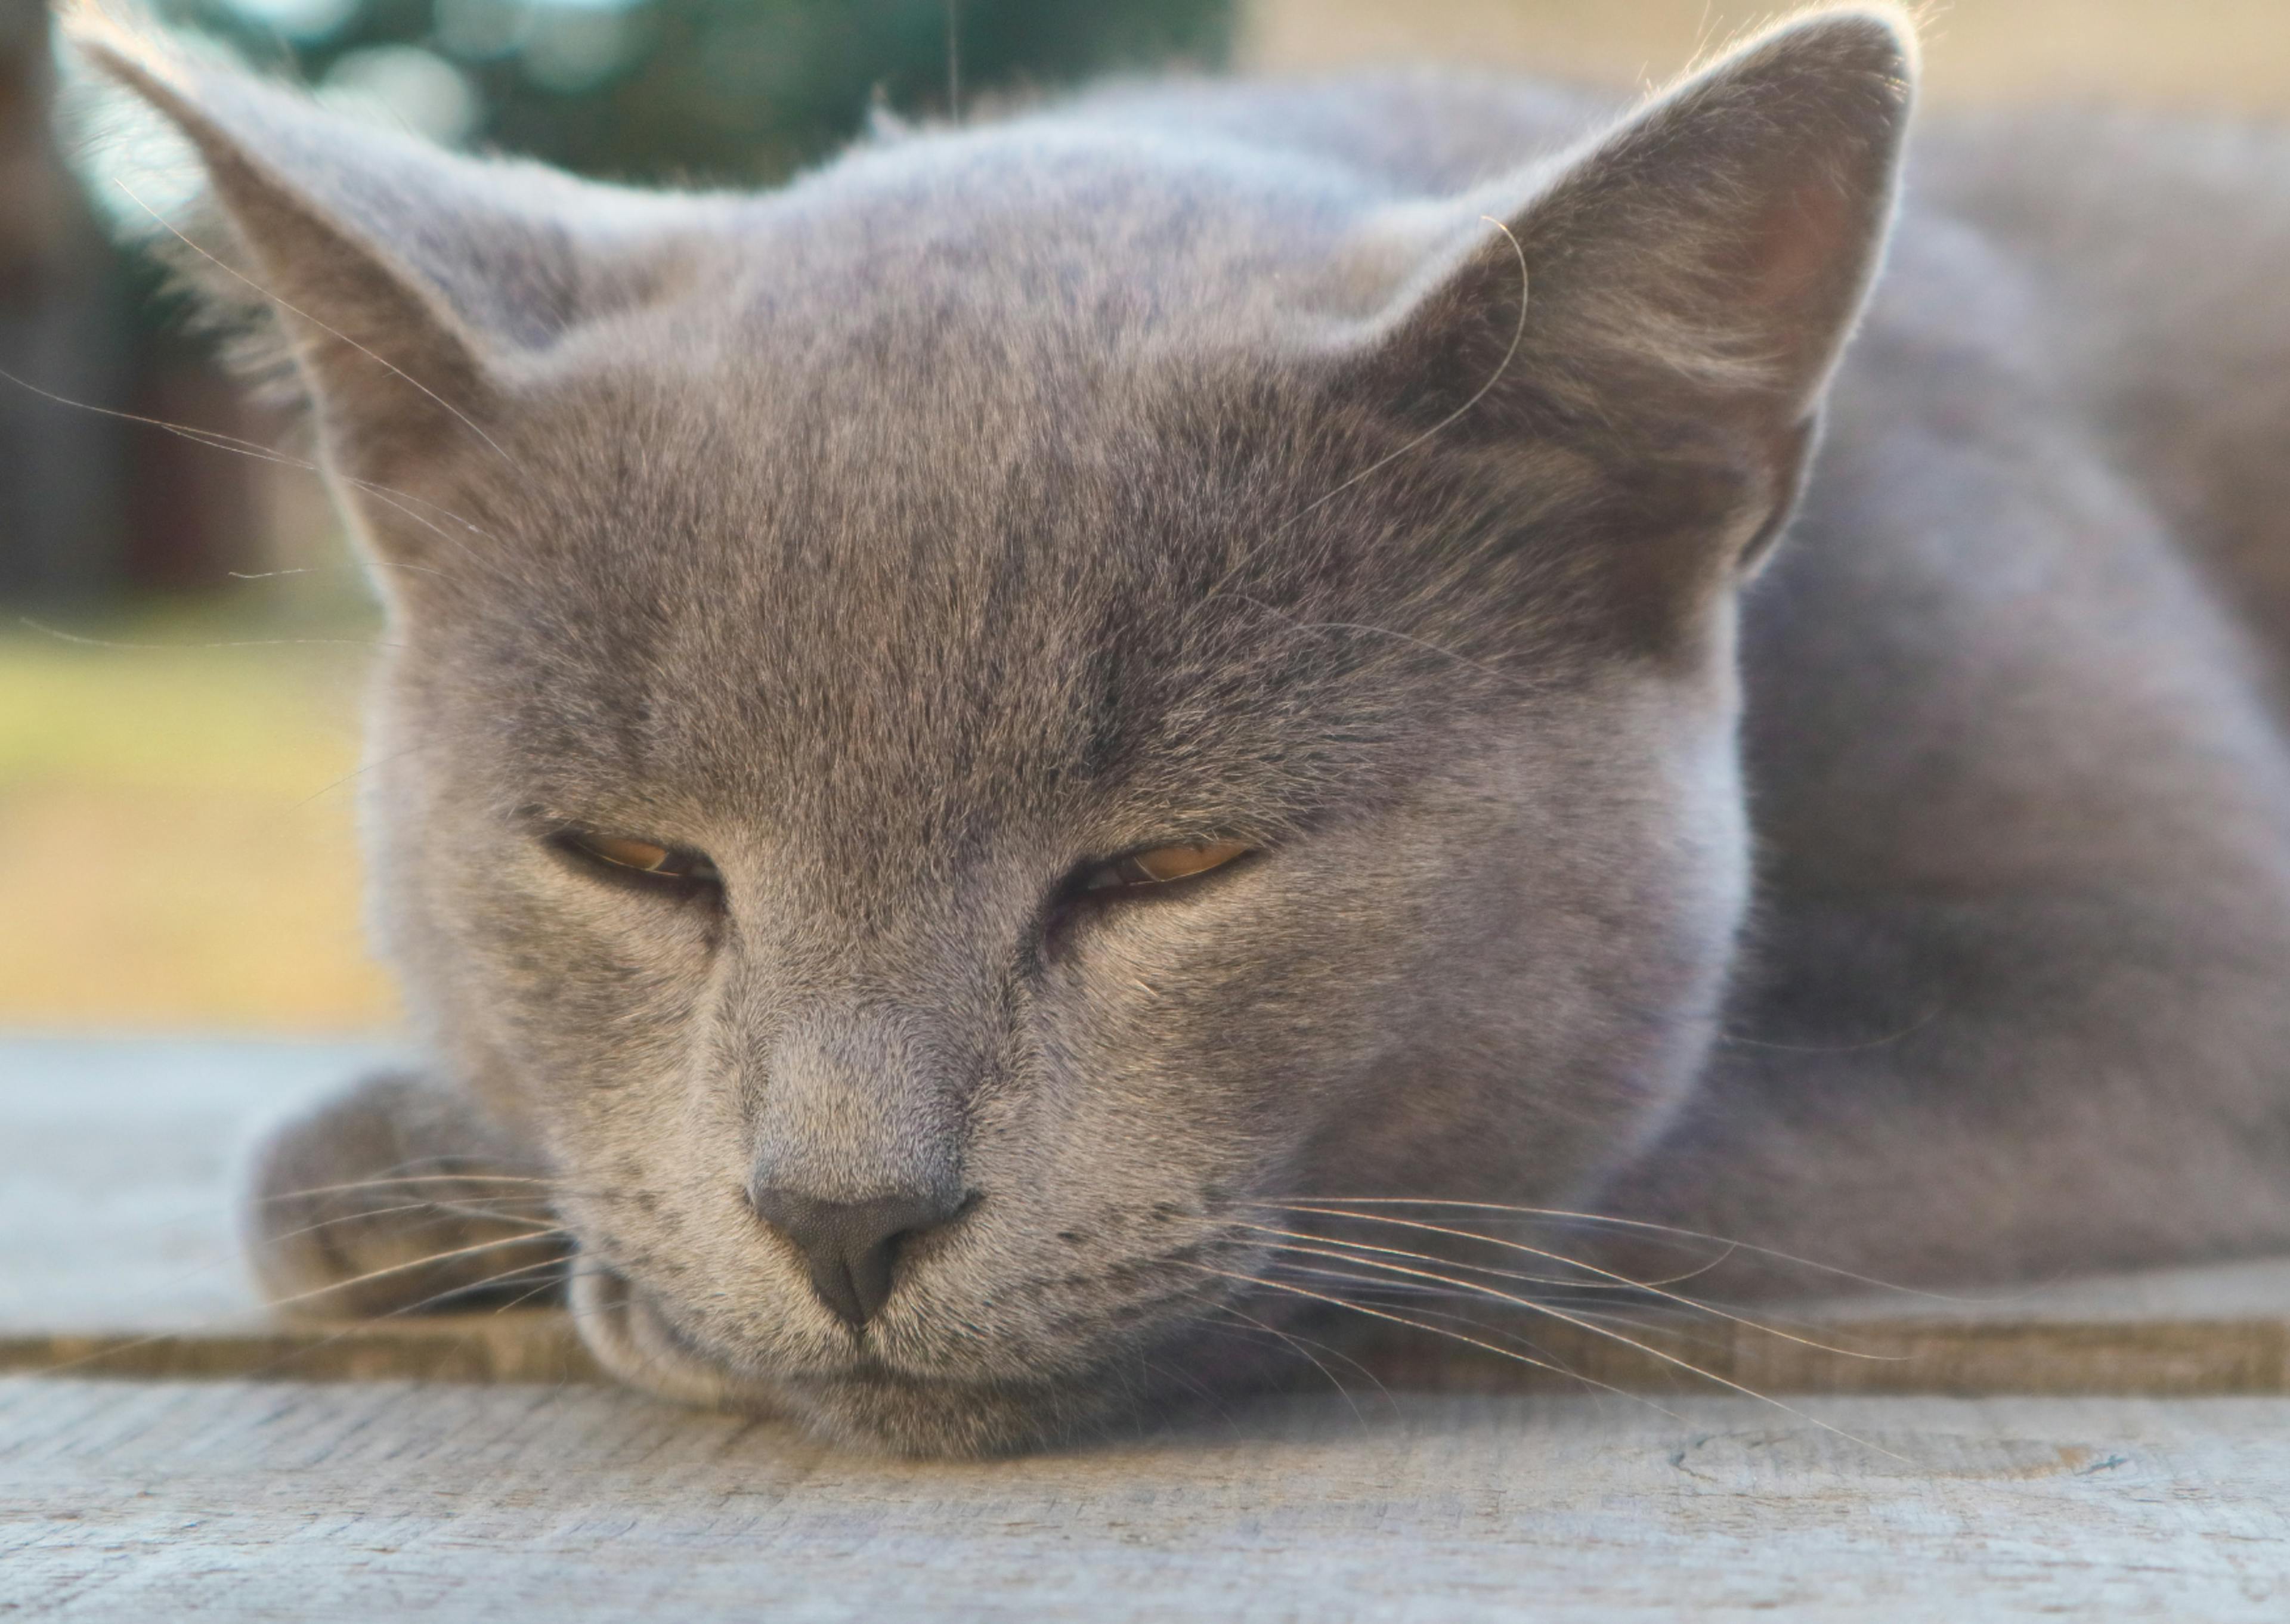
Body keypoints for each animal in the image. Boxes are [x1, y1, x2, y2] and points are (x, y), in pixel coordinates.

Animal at [58, 6, 2290, 1456]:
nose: (842, 1212)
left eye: (1174, 862)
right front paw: (421, 1171)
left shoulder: (2173, 958)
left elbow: (1588, 1164)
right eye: (634, 858)